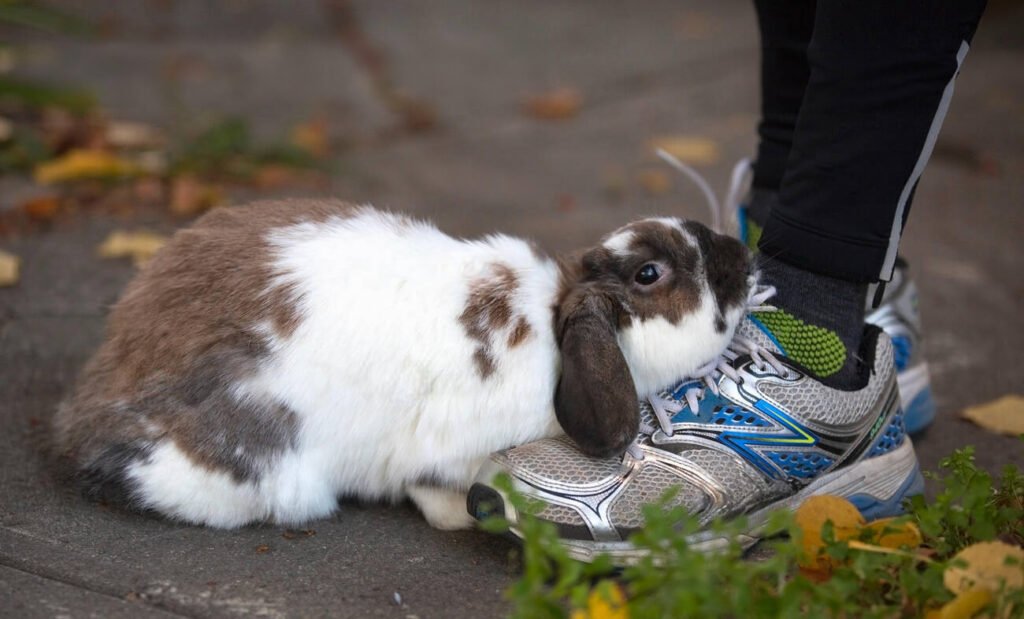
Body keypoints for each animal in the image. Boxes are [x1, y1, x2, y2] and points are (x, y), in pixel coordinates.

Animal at [54, 200, 753, 528]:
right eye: (649, 274)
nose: (743, 259)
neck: (553, 319)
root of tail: (85, 415)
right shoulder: (447, 452)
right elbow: (433, 487)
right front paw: (462, 518)